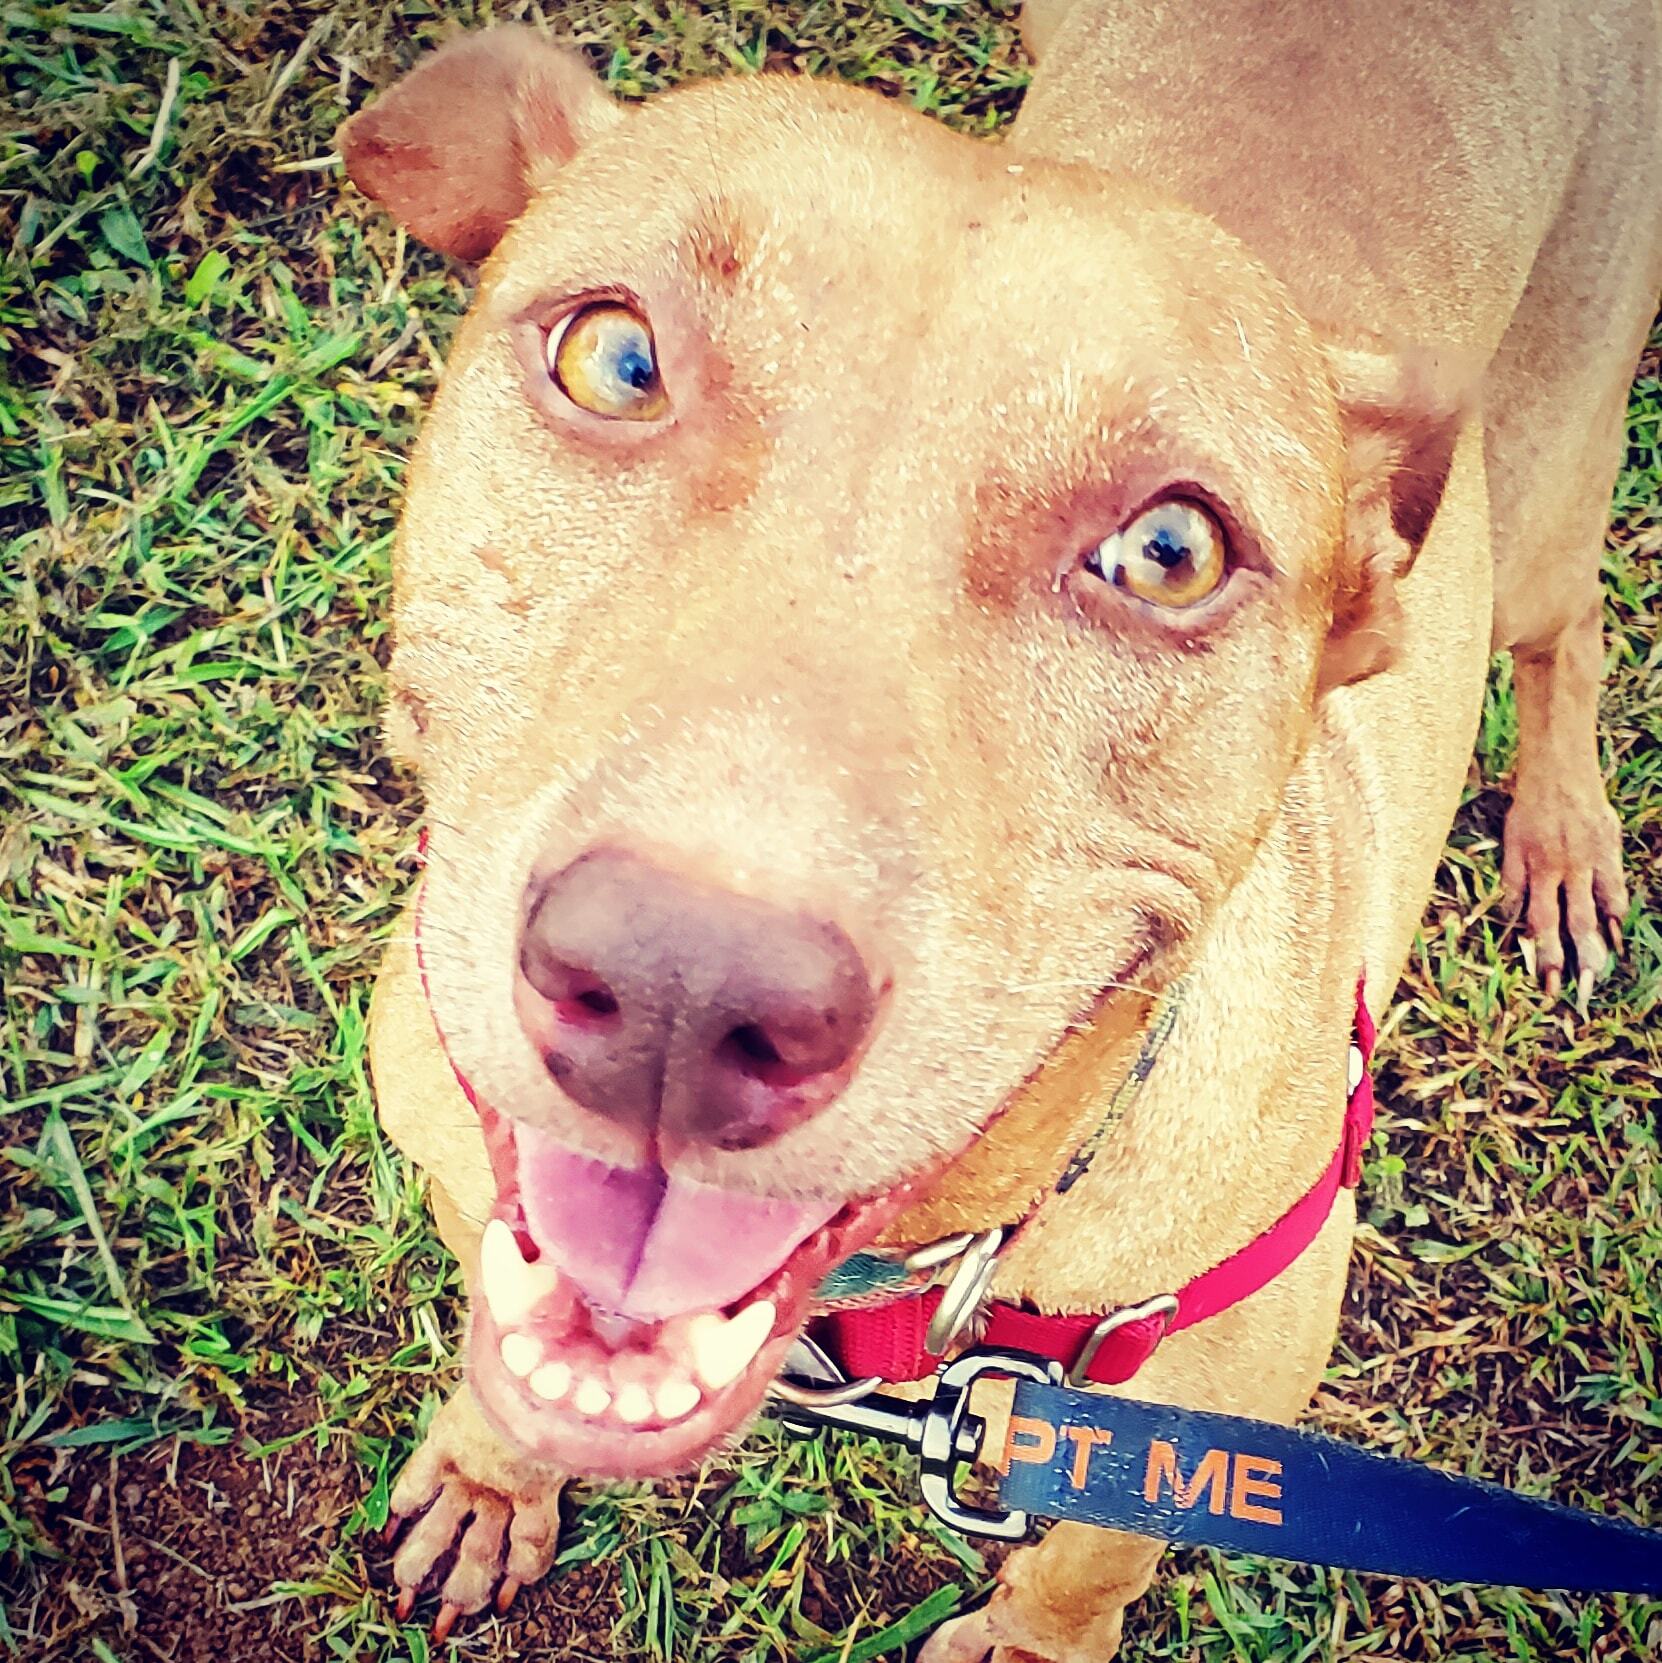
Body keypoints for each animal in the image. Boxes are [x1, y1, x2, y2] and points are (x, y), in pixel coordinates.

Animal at [341, 3, 1662, 1649]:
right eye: (615, 355)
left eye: (1169, 552)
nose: (677, 989)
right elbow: (506, 1309)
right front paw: (490, 1469)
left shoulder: (1198, 1415)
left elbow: (1089, 1558)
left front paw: (1036, 1638)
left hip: (1546, 497)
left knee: (1572, 629)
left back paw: (1563, 840)